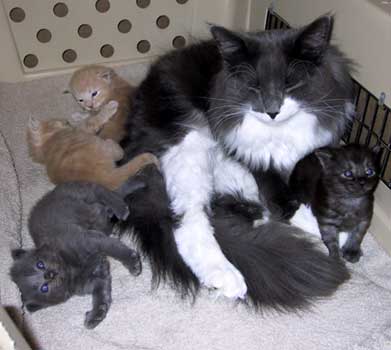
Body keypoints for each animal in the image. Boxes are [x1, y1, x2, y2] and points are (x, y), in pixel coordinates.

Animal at [9, 180, 143, 328]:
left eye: (40, 264)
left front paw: (132, 263)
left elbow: (113, 248)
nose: (50, 274)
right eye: (44, 288)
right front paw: (96, 315)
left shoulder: (87, 240)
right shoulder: (97, 280)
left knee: (101, 190)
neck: (70, 268)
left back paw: (121, 205)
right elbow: (102, 295)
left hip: (79, 193)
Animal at [26, 104, 159, 190]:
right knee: (118, 153)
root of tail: (105, 178)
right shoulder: (84, 128)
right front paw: (109, 107)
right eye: (60, 121)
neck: (47, 143)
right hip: (103, 145)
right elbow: (95, 119)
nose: (67, 121)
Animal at [120, 14, 356, 304]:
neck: (279, 134)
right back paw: (226, 277)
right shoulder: (261, 167)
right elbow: (287, 205)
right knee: (189, 220)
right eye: (254, 86)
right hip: (189, 144)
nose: (272, 111)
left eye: (289, 84)